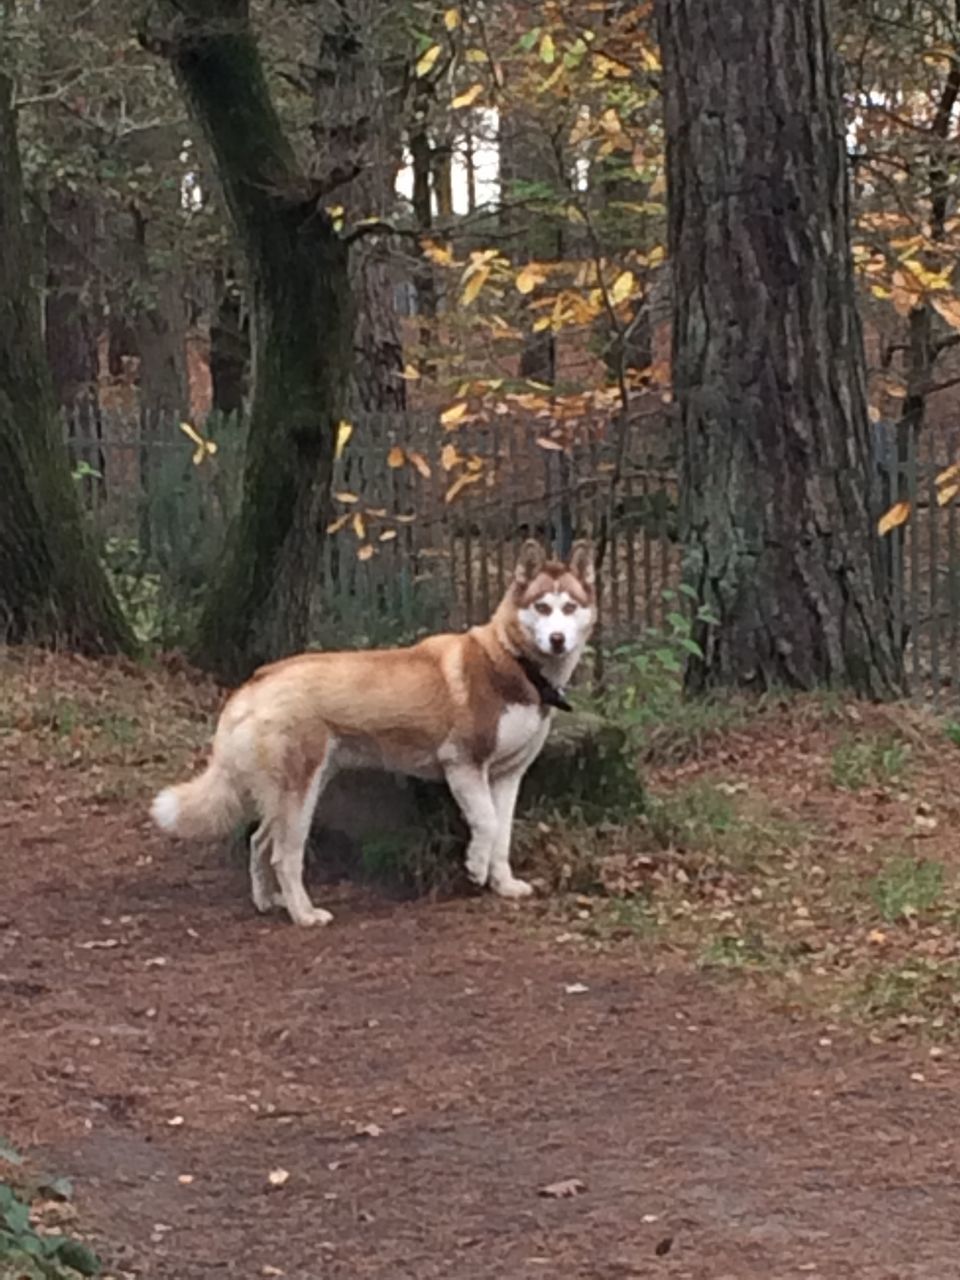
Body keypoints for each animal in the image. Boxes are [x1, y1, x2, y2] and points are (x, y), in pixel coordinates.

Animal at [151, 537, 599, 921]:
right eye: (542, 607)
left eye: (569, 607)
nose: (557, 639)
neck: (513, 662)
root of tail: (256, 680)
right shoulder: (463, 765)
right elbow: (487, 824)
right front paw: (474, 866)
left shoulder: (507, 776)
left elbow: (502, 834)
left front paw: (503, 884)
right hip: (301, 794)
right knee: (284, 856)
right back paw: (304, 914)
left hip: (303, 787)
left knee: (259, 841)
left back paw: (266, 901)